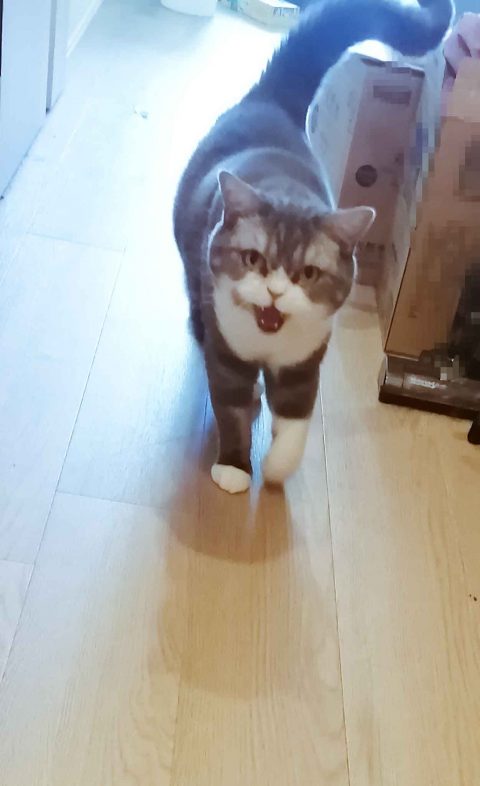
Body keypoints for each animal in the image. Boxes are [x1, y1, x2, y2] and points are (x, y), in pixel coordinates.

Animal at [173, 0, 454, 494]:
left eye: (307, 273)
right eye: (253, 259)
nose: (274, 292)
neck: (268, 342)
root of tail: (272, 99)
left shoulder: (305, 364)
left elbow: (296, 420)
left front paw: (277, 467)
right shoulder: (229, 356)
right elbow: (231, 410)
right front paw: (234, 468)